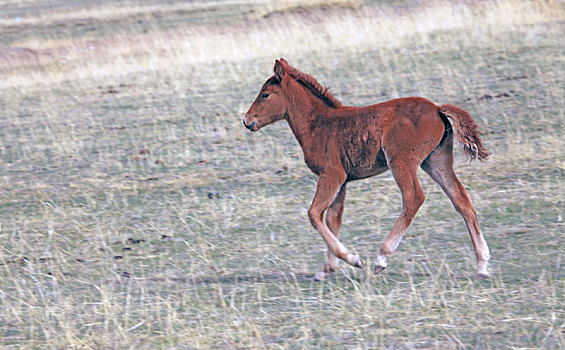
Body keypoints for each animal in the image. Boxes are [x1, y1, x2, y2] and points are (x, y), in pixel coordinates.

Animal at [242, 58, 490, 282]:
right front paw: (327, 269)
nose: (247, 120)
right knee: (461, 199)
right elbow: (333, 219)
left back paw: (382, 258)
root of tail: (438, 109)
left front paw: (353, 259)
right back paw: (482, 263)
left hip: (401, 161)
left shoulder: (332, 174)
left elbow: (314, 214)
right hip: (436, 160)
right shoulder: (342, 181)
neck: (318, 124)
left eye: (265, 94)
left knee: (414, 198)